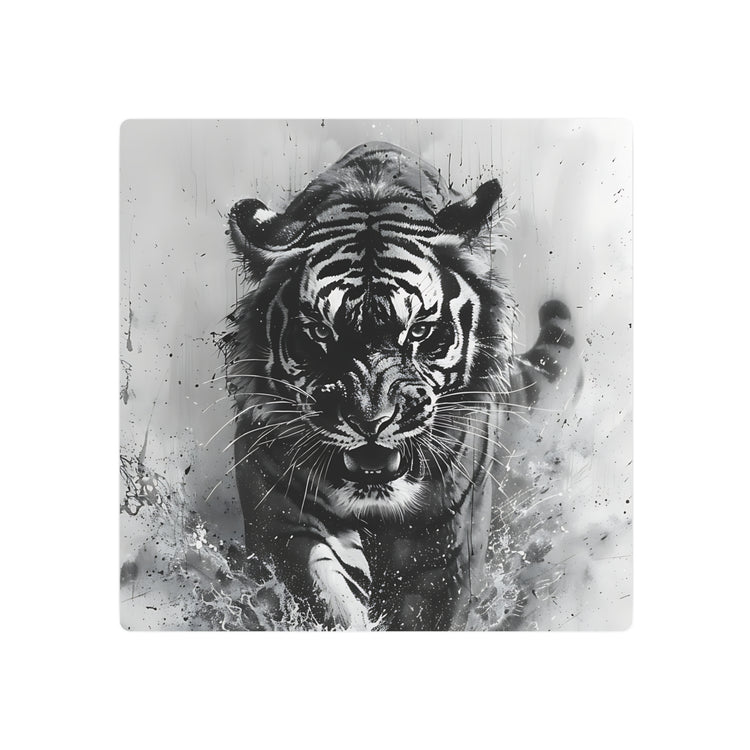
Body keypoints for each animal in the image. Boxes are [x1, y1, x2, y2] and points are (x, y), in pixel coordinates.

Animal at [223, 142, 578, 630]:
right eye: (321, 332)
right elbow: (328, 598)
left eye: (420, 332)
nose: (371, 422)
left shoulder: (446, 553)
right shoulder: (284, 522)